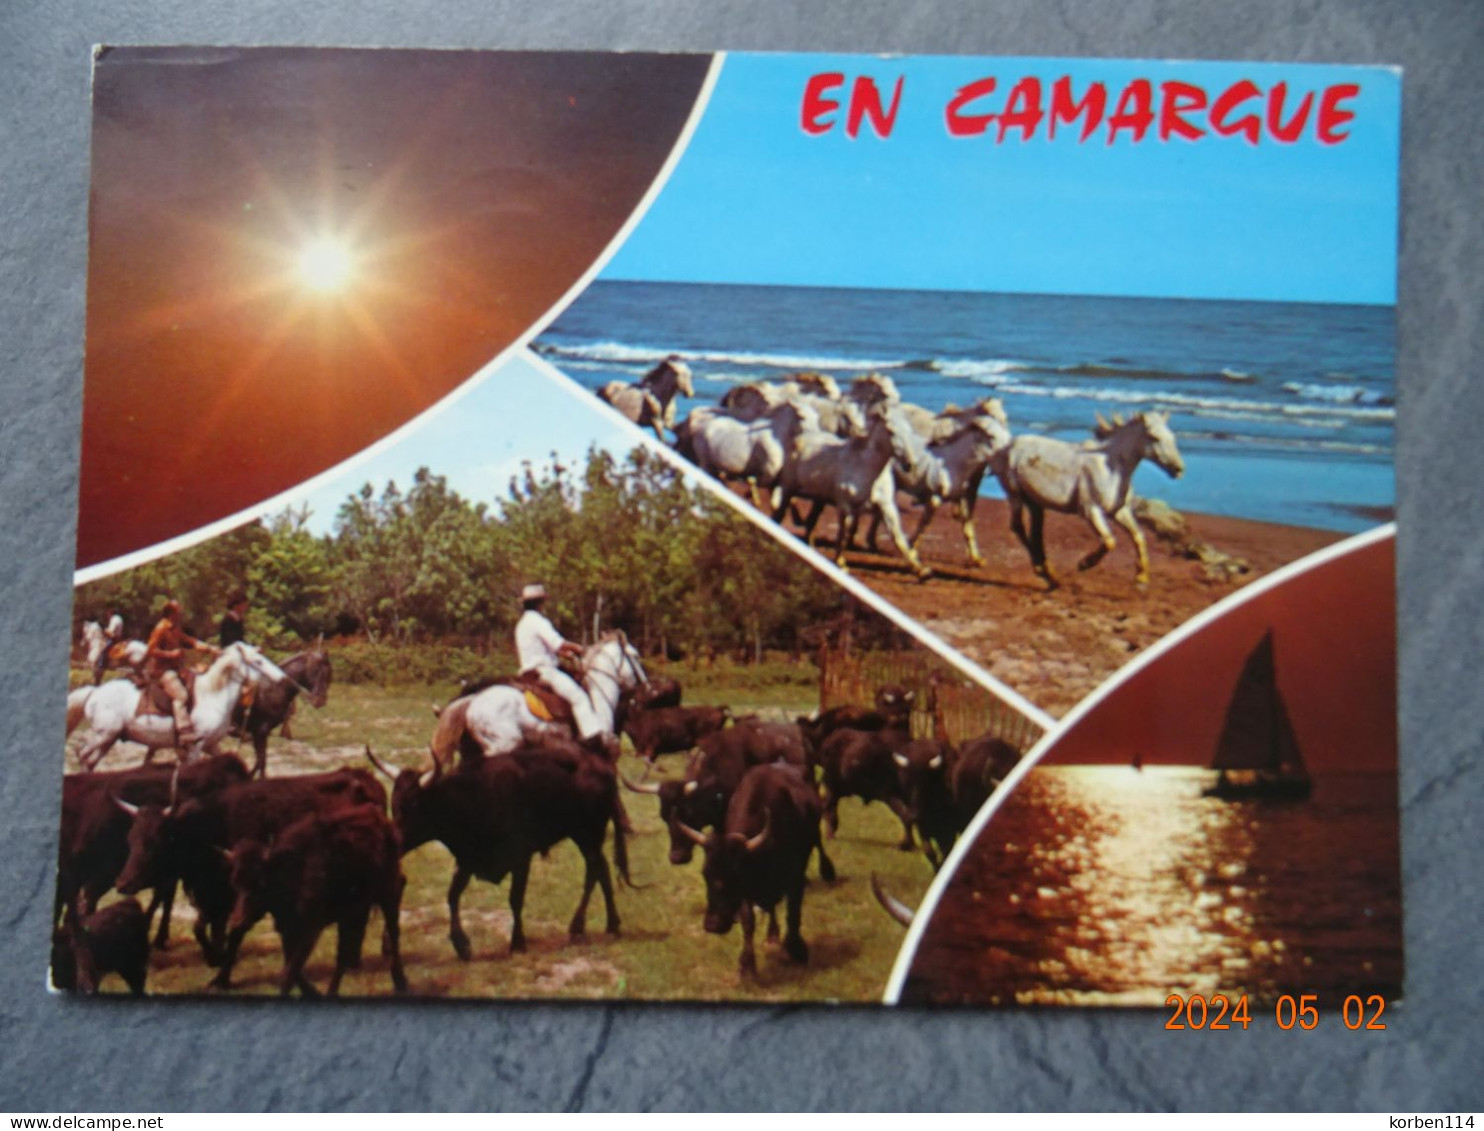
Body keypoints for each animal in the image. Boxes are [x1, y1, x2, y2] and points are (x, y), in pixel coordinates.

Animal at [66, 644, 289, 765]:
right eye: (258, 661)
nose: (282, 678)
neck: (213, 696)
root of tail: (95, 691)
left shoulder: (211, 745)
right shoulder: (195, 748)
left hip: (109, 739)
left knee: (89, 761)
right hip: (103, 735)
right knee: (82, 755)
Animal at [991, 406, 1187, 584]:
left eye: (1172, 436)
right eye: (1154, 437)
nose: (1178, 469)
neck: (1111, 467)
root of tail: (1005, 447)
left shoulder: (1119, 511)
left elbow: (1138, 536)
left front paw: (1142, 576)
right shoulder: (1090, 510)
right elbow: (1109, 541)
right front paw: (1085, 563)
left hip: (1035, 503)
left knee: (1036, 533)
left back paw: (1049, 573)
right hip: (1016, 495)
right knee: (1018, 527)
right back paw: (1044, 572)